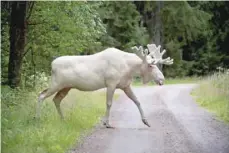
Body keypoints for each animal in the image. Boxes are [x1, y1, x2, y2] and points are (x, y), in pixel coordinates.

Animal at [35, 43, 174, 128]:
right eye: (150, 65)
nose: (162, 78)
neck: (129, 69)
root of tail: (52, 65)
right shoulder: (111, 83)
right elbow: (109, 103)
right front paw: (107, 123)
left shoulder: (125, 85)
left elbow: (137, 101)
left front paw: (146, 121)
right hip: (56, 83)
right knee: (41, 95)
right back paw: (37, 118)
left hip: (66, 87)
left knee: (56, 99)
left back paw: (63, 119)